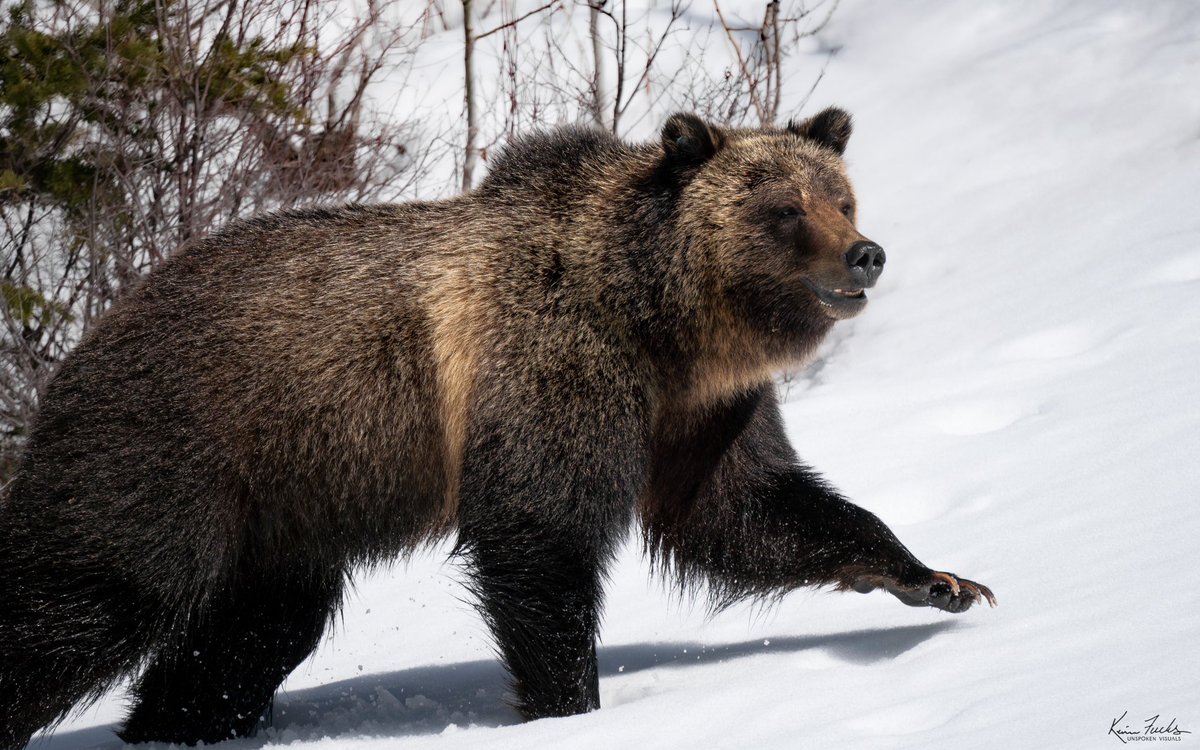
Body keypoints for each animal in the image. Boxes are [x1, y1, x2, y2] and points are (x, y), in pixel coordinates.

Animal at [0, 108, 993, 744]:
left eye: (842, 196)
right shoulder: (555, 370)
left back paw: (168, 728)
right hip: (177, 449)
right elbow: (541, 538)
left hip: (286, 504)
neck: (664, 323)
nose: (864, 254)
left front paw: (940, 580)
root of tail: (90, 330)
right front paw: (570, 704)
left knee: (249, 636)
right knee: (93, 598)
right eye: (784, 209)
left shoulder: (699, 415)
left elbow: (748, 511)